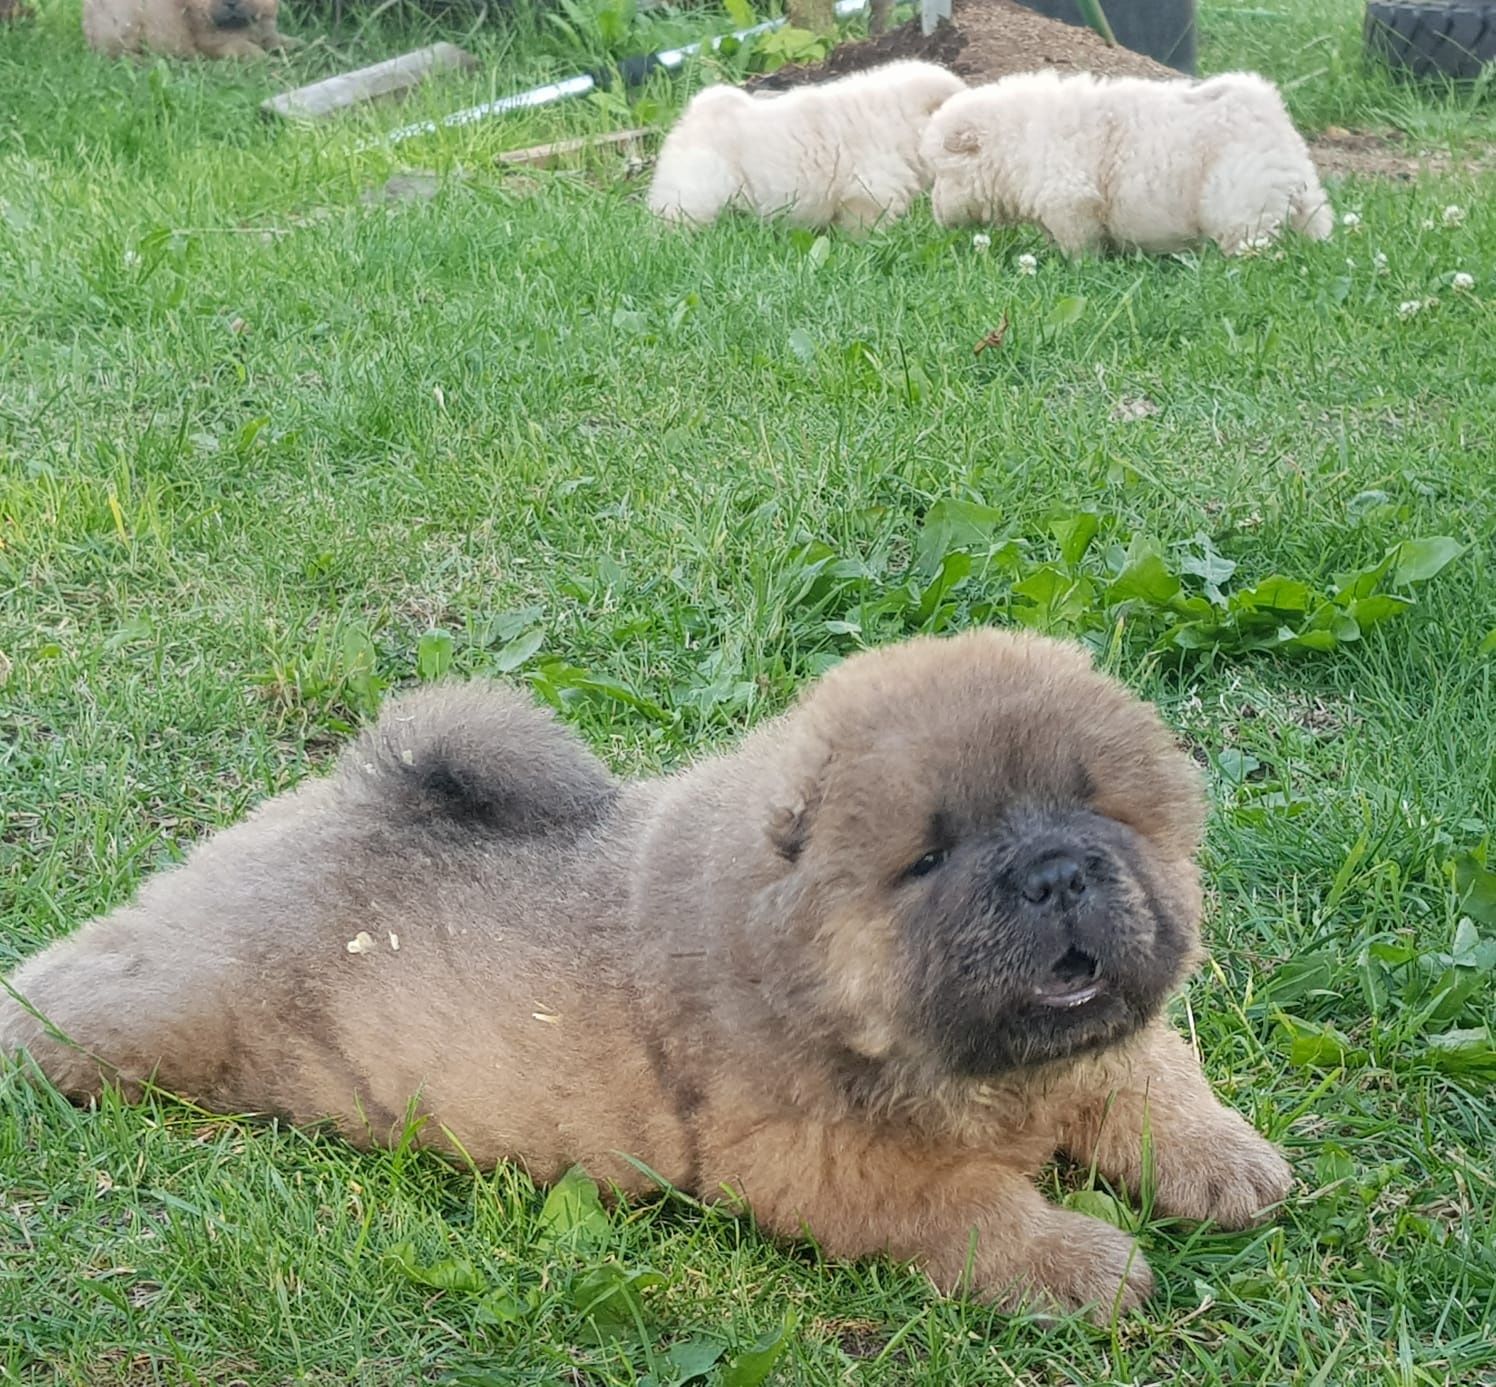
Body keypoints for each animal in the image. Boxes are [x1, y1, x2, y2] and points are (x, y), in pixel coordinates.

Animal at [0, 634, 1286, 1316]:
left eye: (1099, 808)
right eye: (928, 857)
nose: (1056, 871)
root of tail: (339, 795)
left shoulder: (1105, 1045)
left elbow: (1153, 1077)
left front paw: (1230, 1163)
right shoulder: (820, 1160)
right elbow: (967, 1205)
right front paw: (1079, 1261)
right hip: (170, 1010)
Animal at [82, 0, 294, 59]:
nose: (231, 2)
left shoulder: (266, 29)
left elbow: (276, 38)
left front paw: (294, 45)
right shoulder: (215, 40)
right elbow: (249, 49)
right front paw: (270, 61)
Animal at [921, 69, 1334, 257]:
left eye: (941, 174)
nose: (935, 214)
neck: (1016, 140)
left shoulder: (1071, 200)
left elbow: (1078, 245)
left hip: (1239, 202)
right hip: (1306, 198)